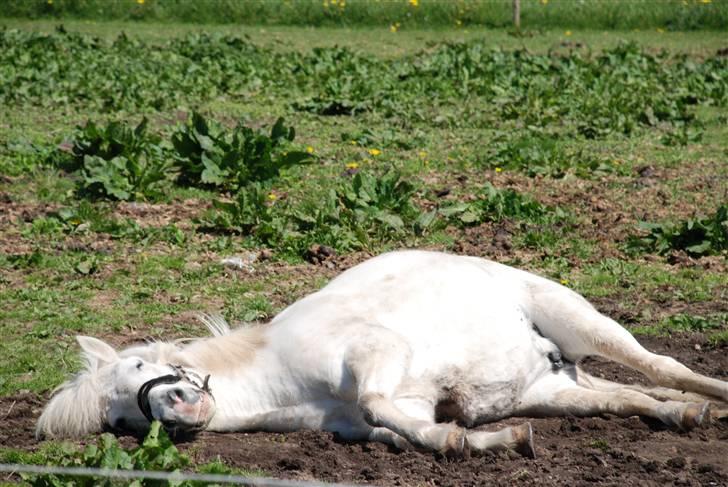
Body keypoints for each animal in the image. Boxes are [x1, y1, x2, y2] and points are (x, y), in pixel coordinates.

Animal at [38, 250, 728, 460]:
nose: (178, 409)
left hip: (580, 320)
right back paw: (682, 414)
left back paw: (708, 399)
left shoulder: (378, 350)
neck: (281, 378)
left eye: (137, 367)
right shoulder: (385, 417)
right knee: (626, 398)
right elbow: (399, 430)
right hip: (551, 389)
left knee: (660, 368)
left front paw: (461, 439)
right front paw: (487, 440)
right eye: (121, 420)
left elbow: (375, 400)